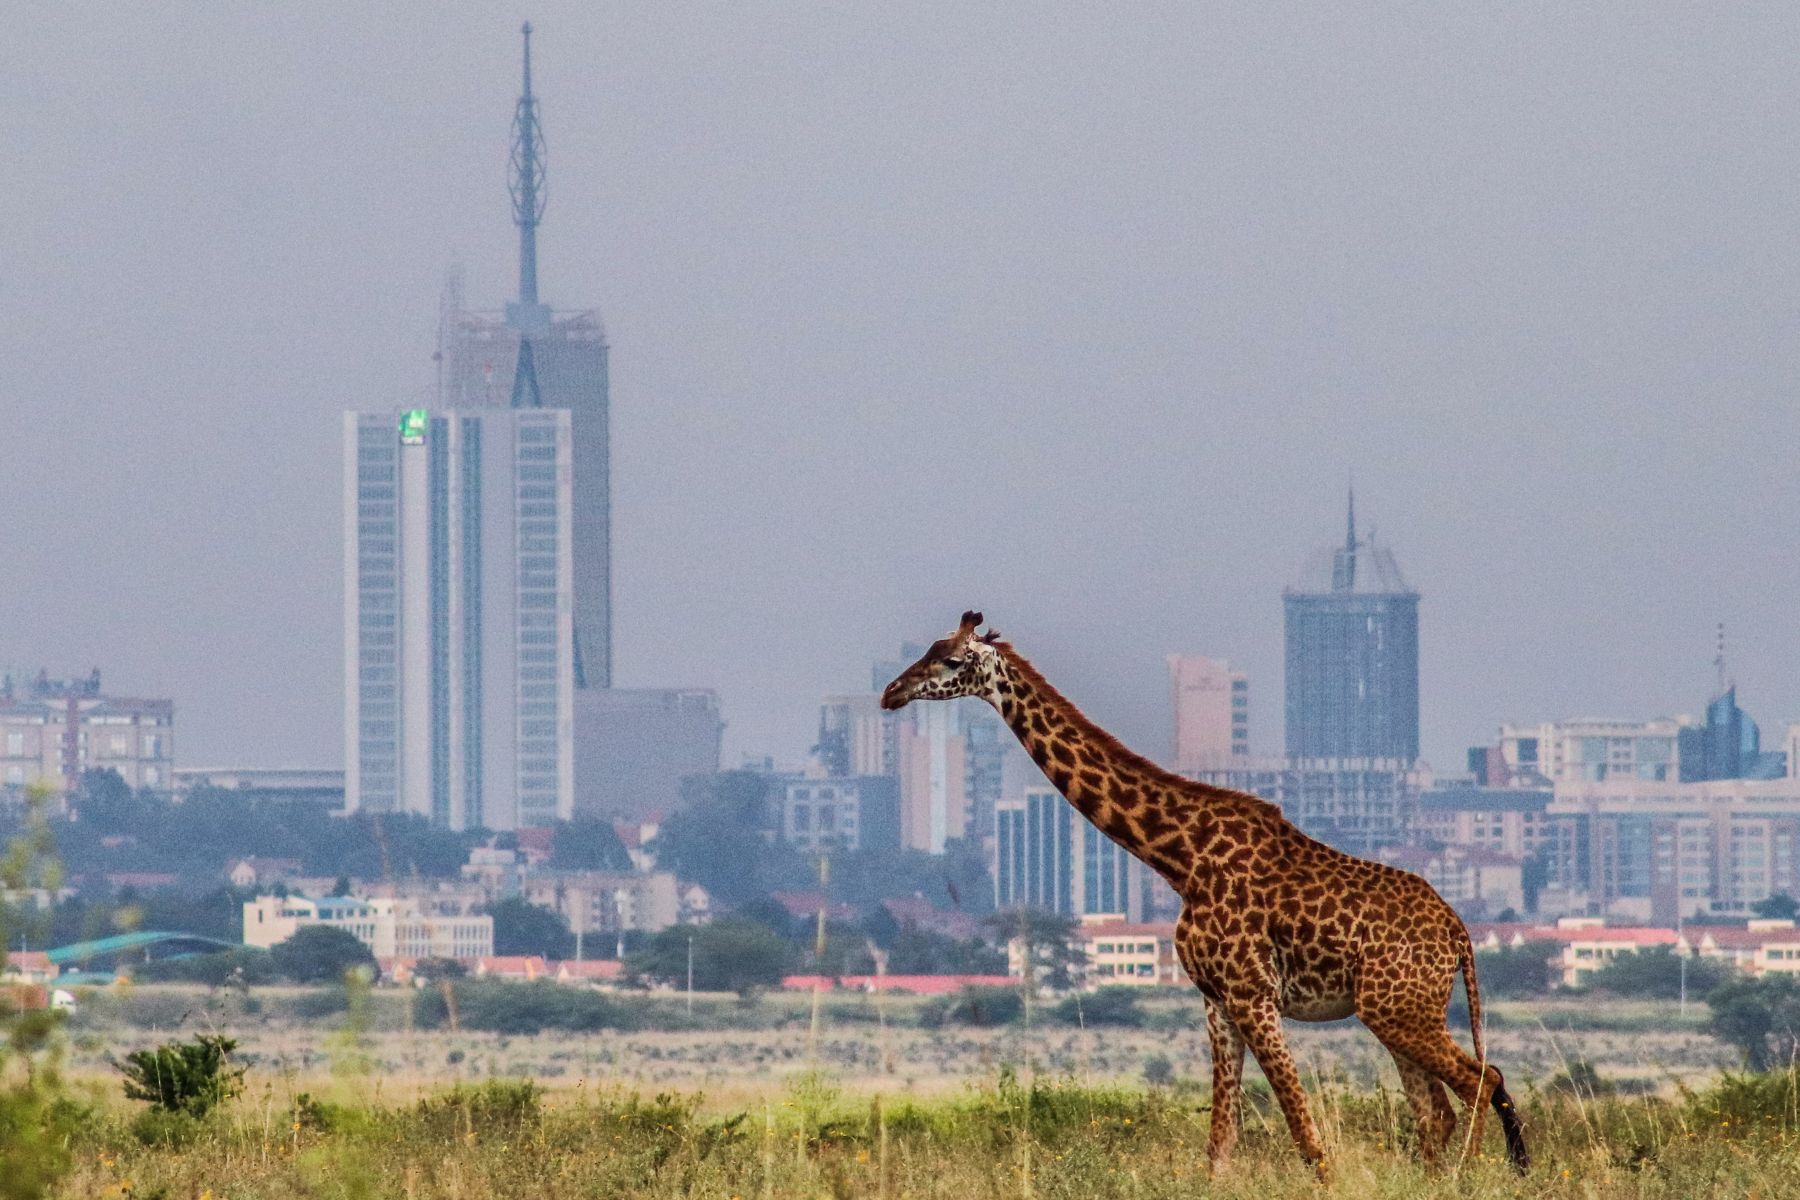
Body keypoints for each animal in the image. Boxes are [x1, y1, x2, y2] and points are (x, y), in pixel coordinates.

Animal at [878, 615, 1526, 1180]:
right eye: (928, 648)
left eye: (952, 659)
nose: (891, 692)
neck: (1179, 859)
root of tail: (1458, 933)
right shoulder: (1217, 1001)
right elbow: (1221, 1142)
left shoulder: (1253, 994)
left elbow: (1305, 1134)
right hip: (1396, 1012)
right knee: (1439, 1111)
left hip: (1399, 1008)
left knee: (1481, 1083)